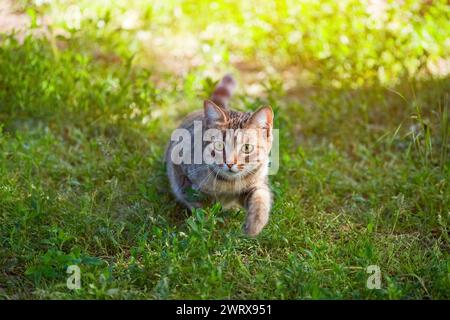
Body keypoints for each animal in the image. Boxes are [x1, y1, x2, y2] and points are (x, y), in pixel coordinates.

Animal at [163, 74, 272, 236]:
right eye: (219, 145)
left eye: (247, 148)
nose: (230, 163)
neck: (228, 184)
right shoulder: (182, 175)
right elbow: (197, 203)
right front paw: (205, 223)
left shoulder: (257, 181)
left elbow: (261, 198)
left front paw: (254, 225)